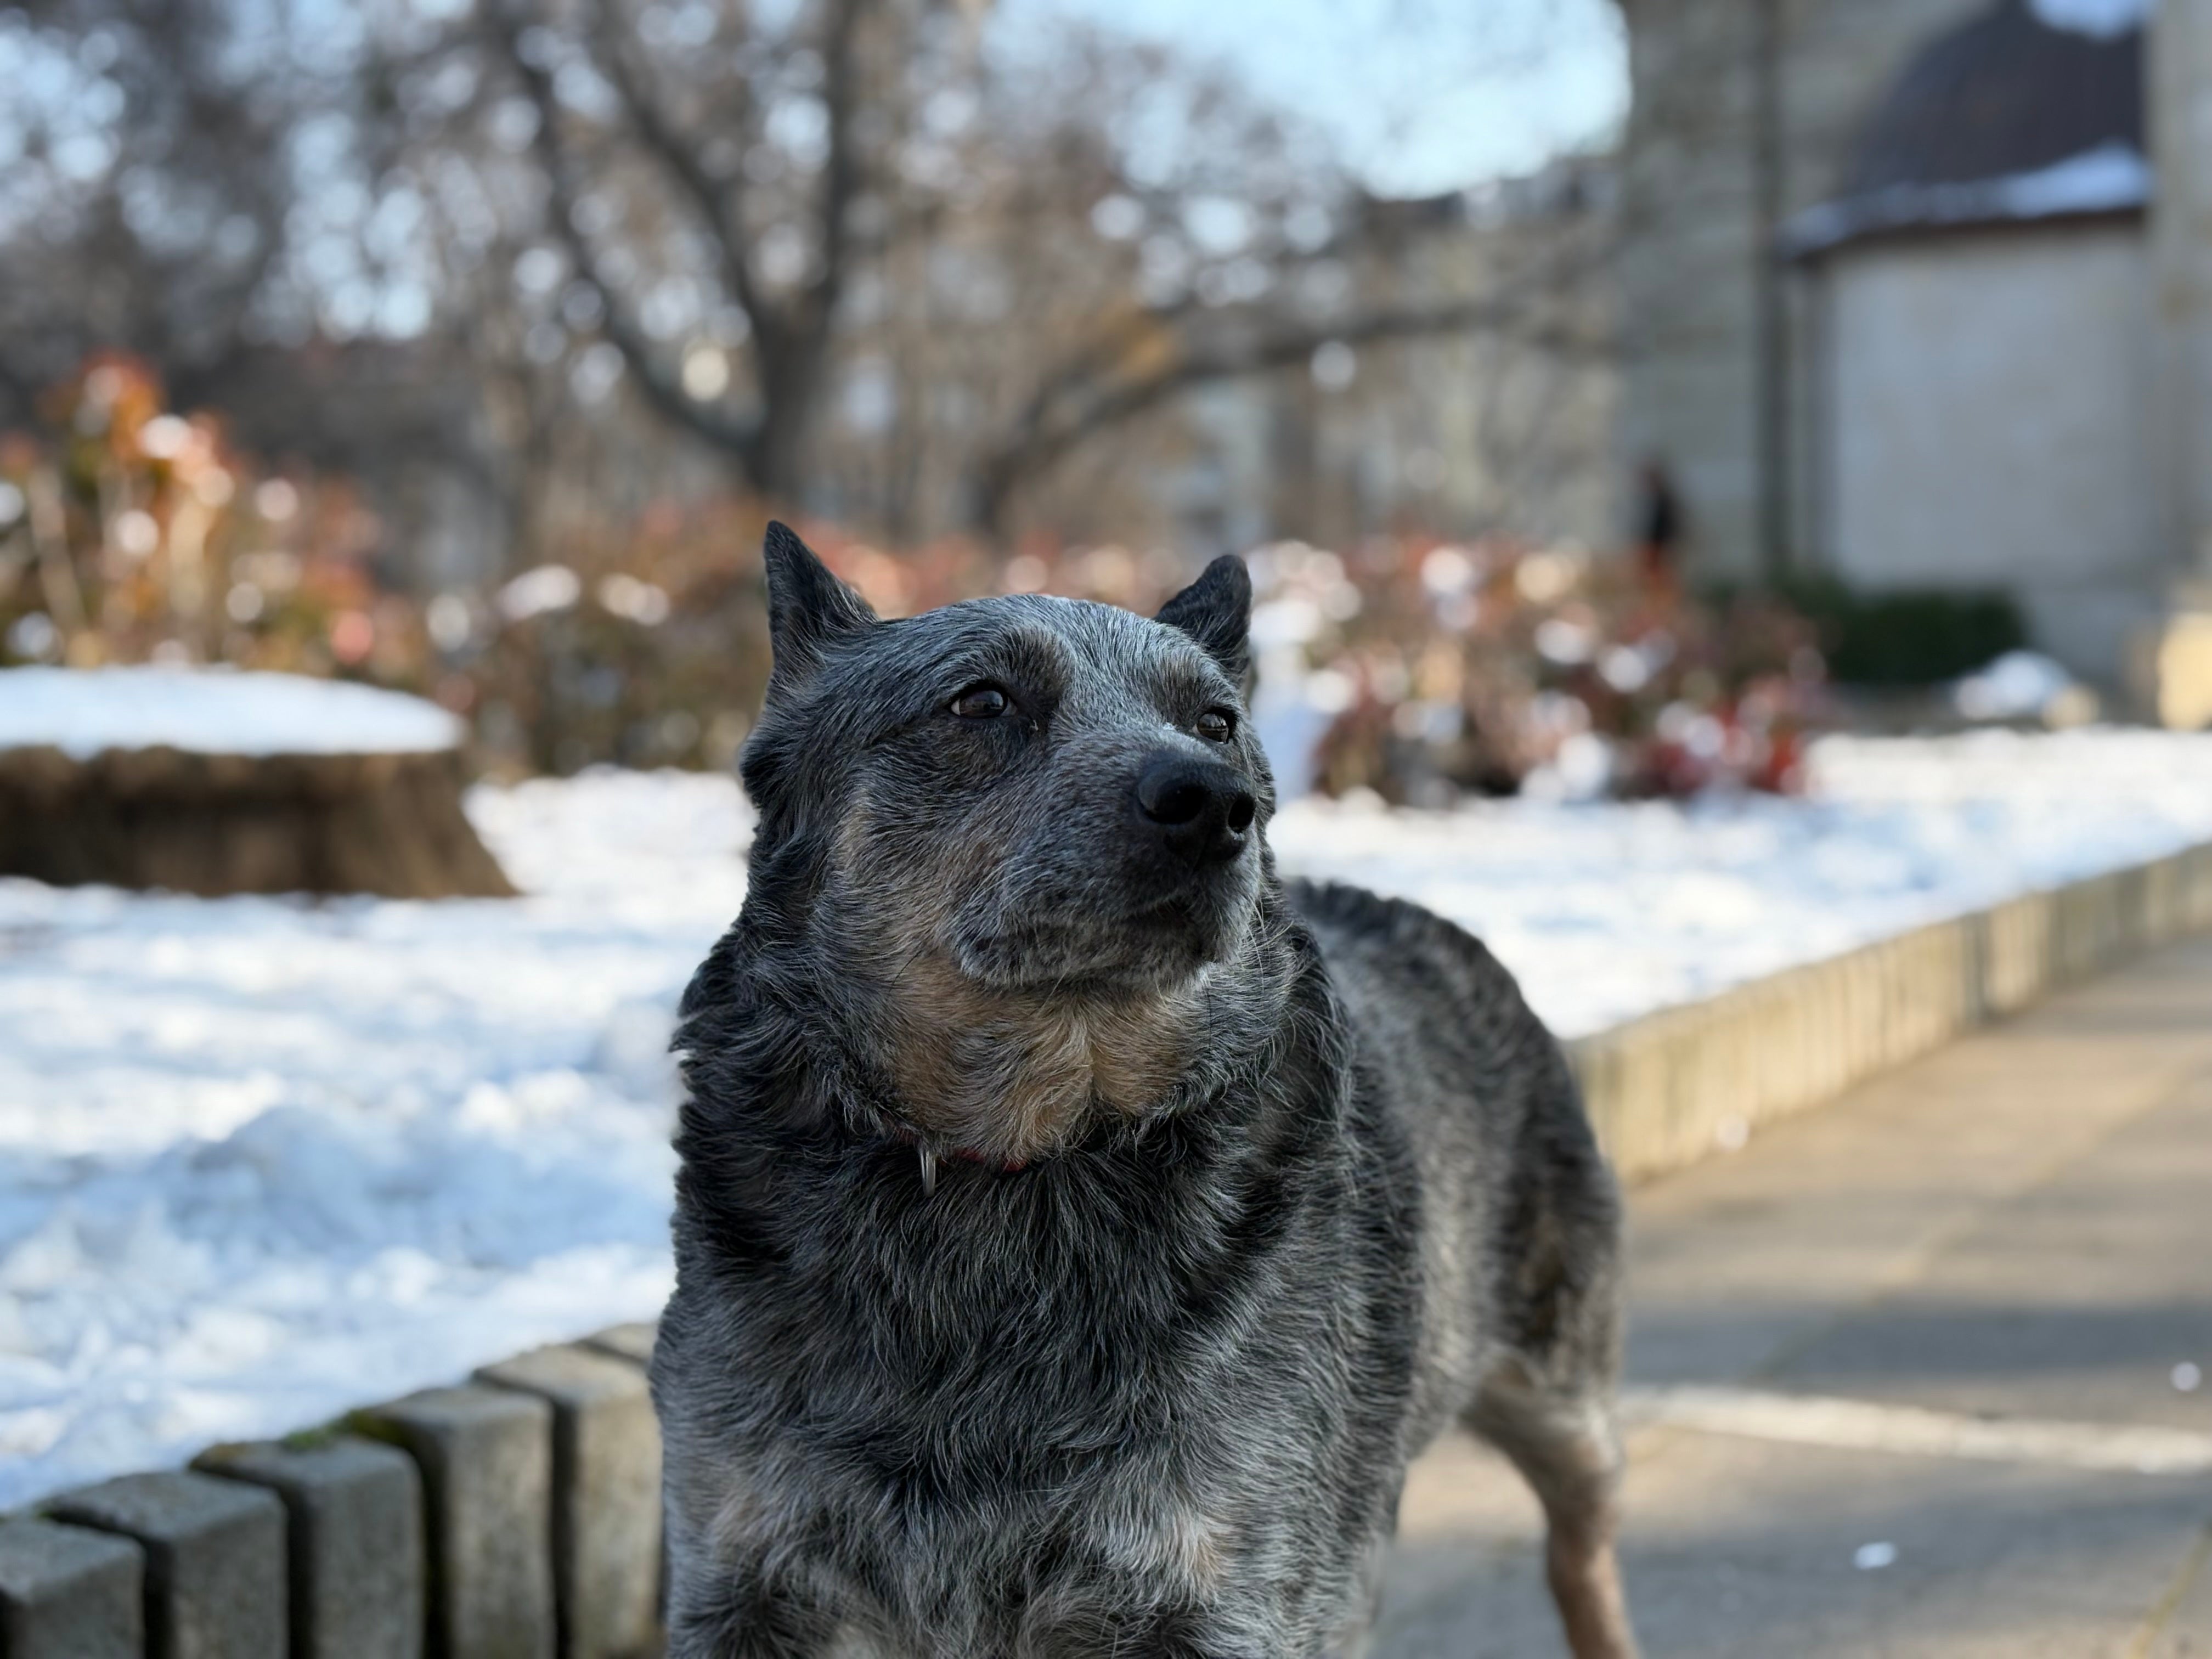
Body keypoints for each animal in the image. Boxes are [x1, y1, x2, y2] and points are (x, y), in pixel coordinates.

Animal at [646, 522, 1637, 1659]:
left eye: (1215, 719)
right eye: (980, 700)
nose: (1212, 802)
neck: (1018, 1168)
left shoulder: (1228, 1583)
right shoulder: (738, 1565)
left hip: (1563, 1396)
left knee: (1581, 1551)